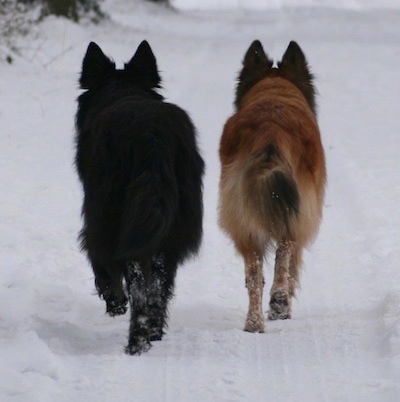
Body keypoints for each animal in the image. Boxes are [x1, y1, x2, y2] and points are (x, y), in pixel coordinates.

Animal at [75, 40, 205, 354]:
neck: (123, 89)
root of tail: (152, 136)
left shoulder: (94, 216)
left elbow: (99, 261)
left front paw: (115, 302)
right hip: (168, 226)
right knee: (158, 285)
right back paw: (152, 333)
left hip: (114, 218)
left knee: (136, 283)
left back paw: (137, 341)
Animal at [219, 40, 324, 332]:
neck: (275, 90)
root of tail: (270, 134)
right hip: (297, 214)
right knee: (285, 250)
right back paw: (279, 302)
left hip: (241, 220)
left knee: (255, 274)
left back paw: (254, 322)